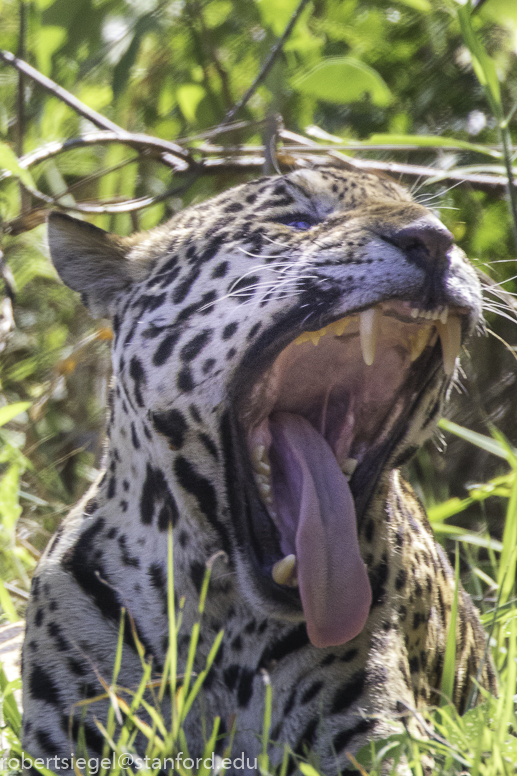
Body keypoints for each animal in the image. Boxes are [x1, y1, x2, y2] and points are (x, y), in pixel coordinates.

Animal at [22, 166, 496, 775]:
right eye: (295, 220)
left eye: (432, 221)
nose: (435, 241)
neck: (219, 624)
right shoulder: (65, 743)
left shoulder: (381, 743)